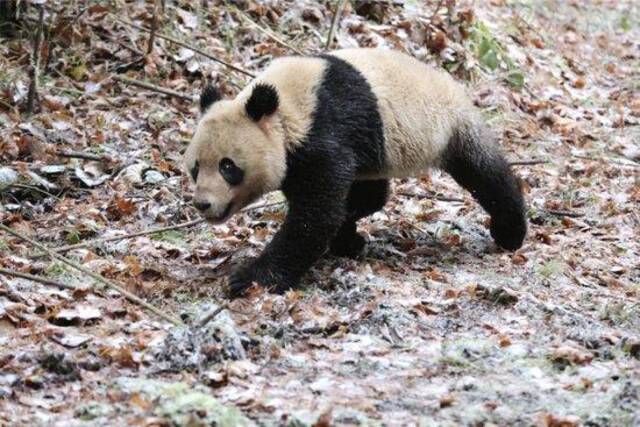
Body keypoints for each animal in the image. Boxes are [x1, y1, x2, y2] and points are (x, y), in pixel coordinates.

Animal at [184, 47, 524, 298]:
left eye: (228, 166)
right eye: (196, 168)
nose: (203, 204)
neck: (286, 111)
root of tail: (455, 86)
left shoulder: (325, 132)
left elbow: (315, 215)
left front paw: (248, 279)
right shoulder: (302, 155)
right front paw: (347, 240)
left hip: (450, 127)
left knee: (485, 174)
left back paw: (510, 232)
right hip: (382, 149)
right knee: (373, 193)